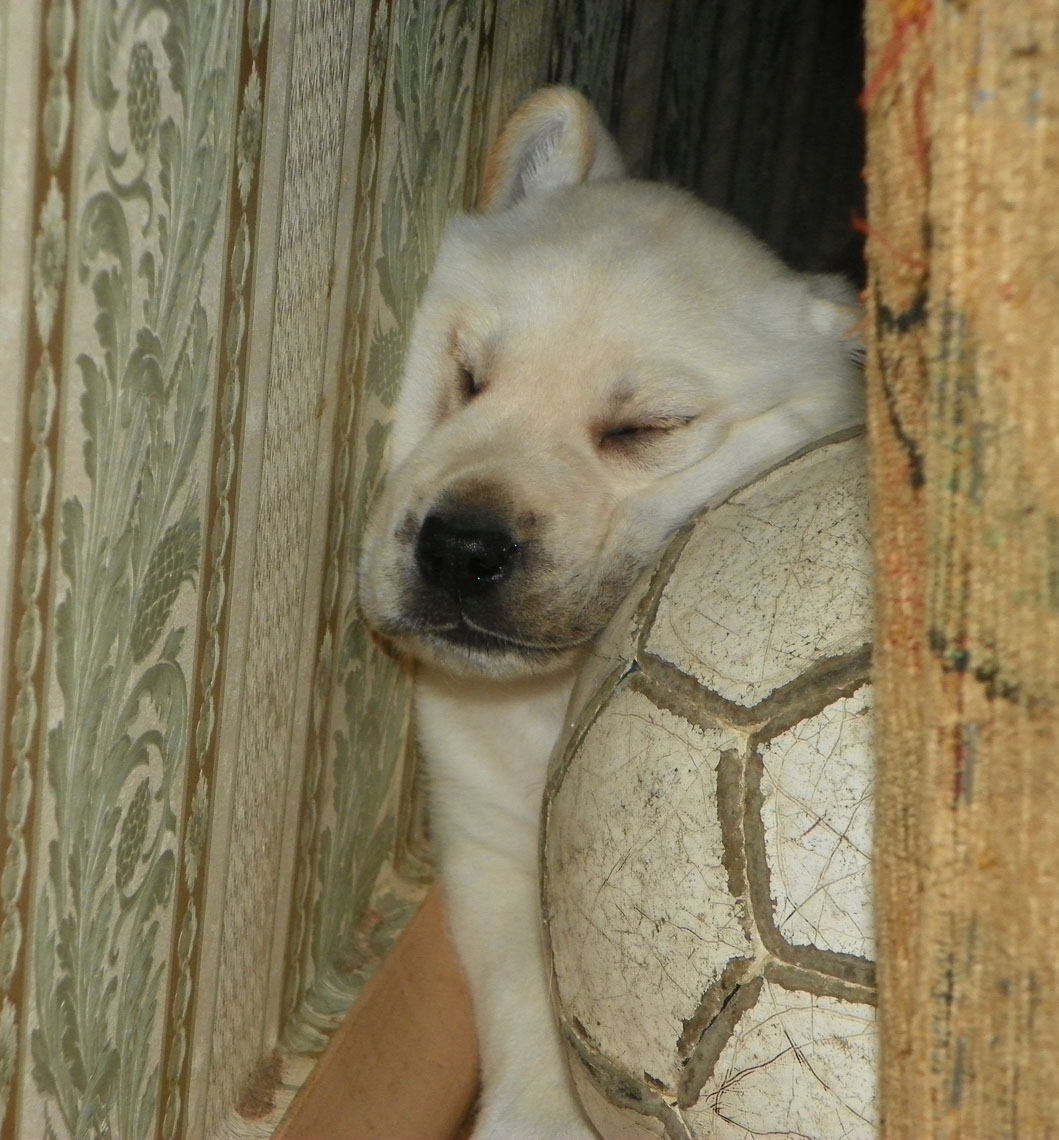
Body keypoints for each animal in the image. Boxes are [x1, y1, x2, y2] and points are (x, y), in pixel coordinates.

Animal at [360, 86, 864, 1139]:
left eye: (644, 430)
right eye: (468, 375)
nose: (458, 549)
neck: (548, 707)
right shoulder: (489, 838)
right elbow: (530, 1009)